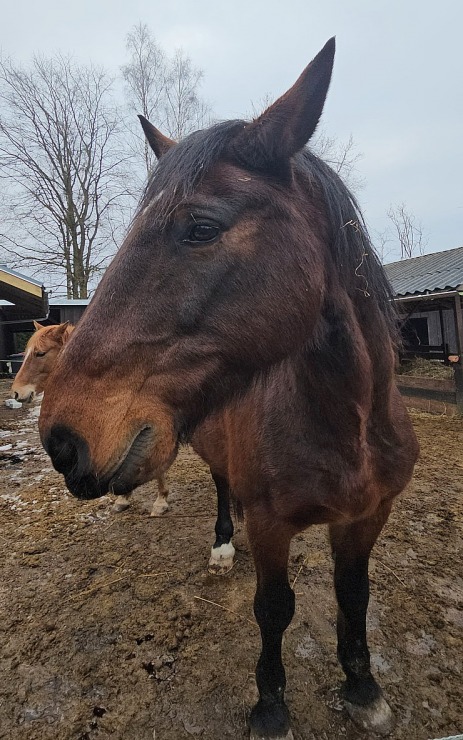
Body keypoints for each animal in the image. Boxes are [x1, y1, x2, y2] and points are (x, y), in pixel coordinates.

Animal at [39, 40, 420, 740]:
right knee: (222, 488)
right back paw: (221, 543)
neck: (349, 427)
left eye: (199, 228)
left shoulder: (368, 517)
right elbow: (274, 608)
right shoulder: (272, 524)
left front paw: (363, 686)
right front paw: (270, 706)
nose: (61, 439)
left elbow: (354, 597)